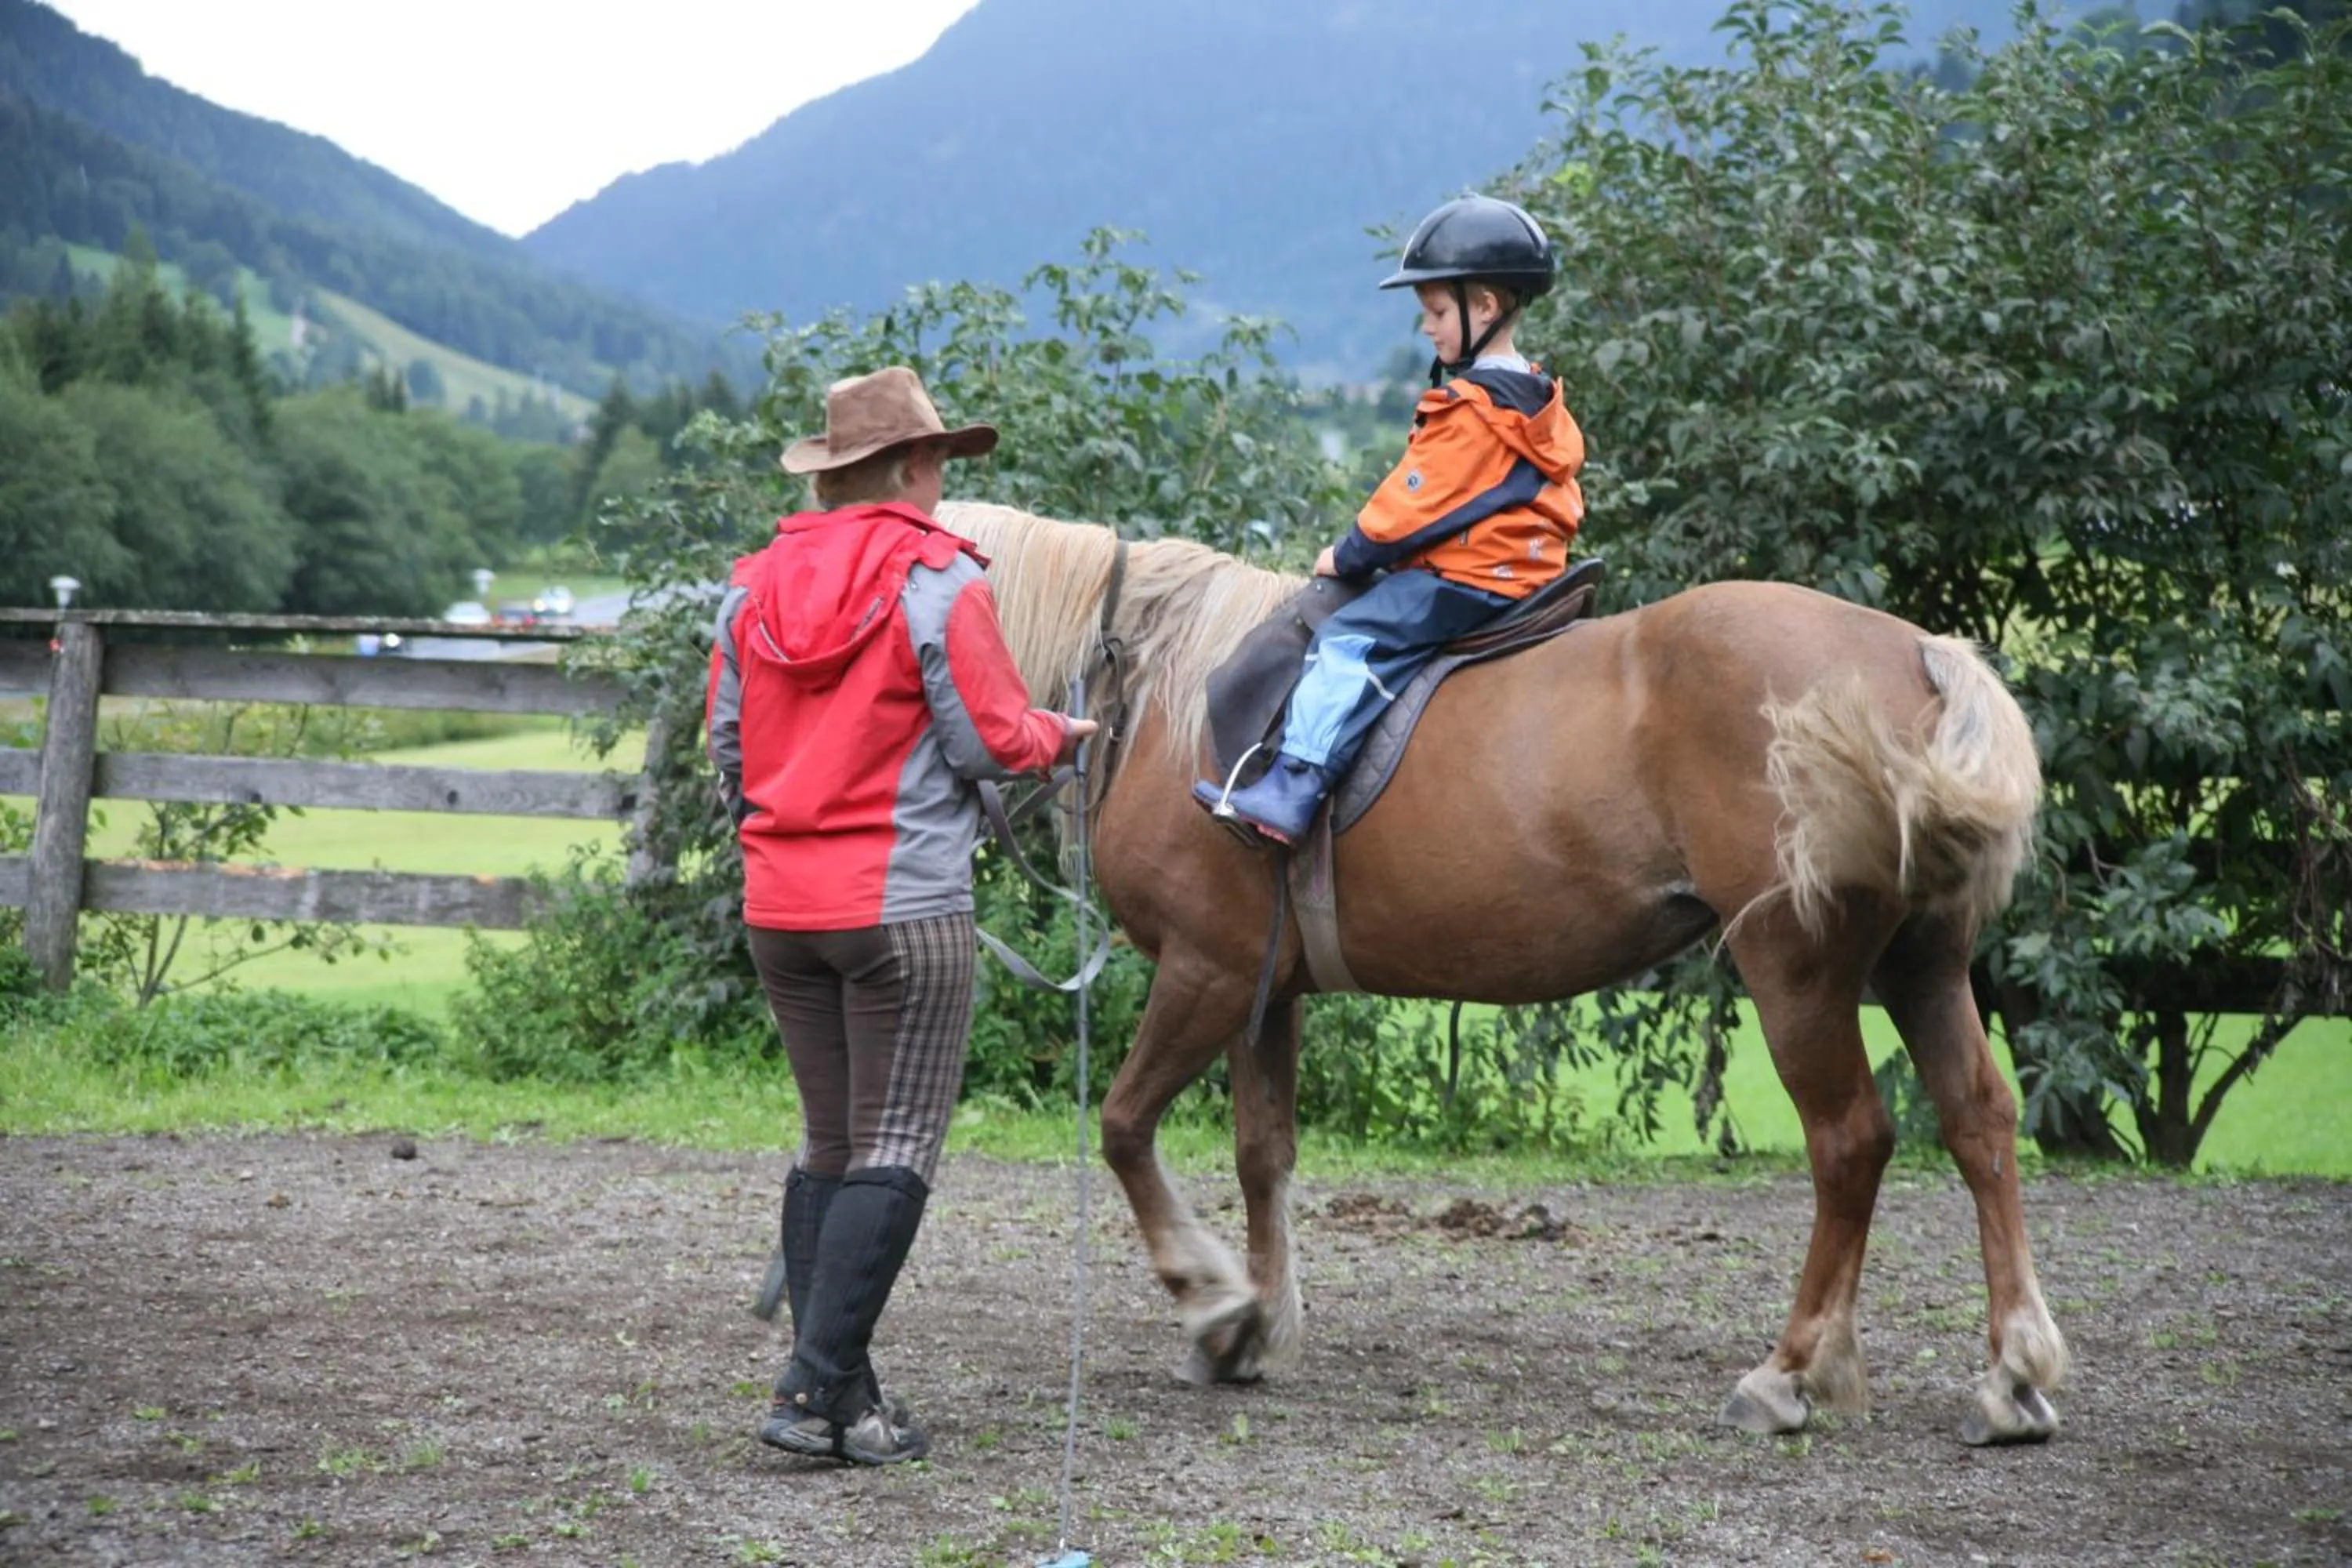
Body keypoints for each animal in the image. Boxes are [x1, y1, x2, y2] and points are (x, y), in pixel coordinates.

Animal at [939, 499, 2067, 1446]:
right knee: (1979, 1121)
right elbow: (1264, 1153)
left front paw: (1214, 1303)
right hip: (1923, 963)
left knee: (1850, 1144)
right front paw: (1257, 1323)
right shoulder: (1265, 988)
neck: (1153, 691)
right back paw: (2012, 1375)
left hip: (1797, 968)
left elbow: (1125, 1126)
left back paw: (1789, 1372)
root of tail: (1915, 653)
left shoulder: (1205, 971)